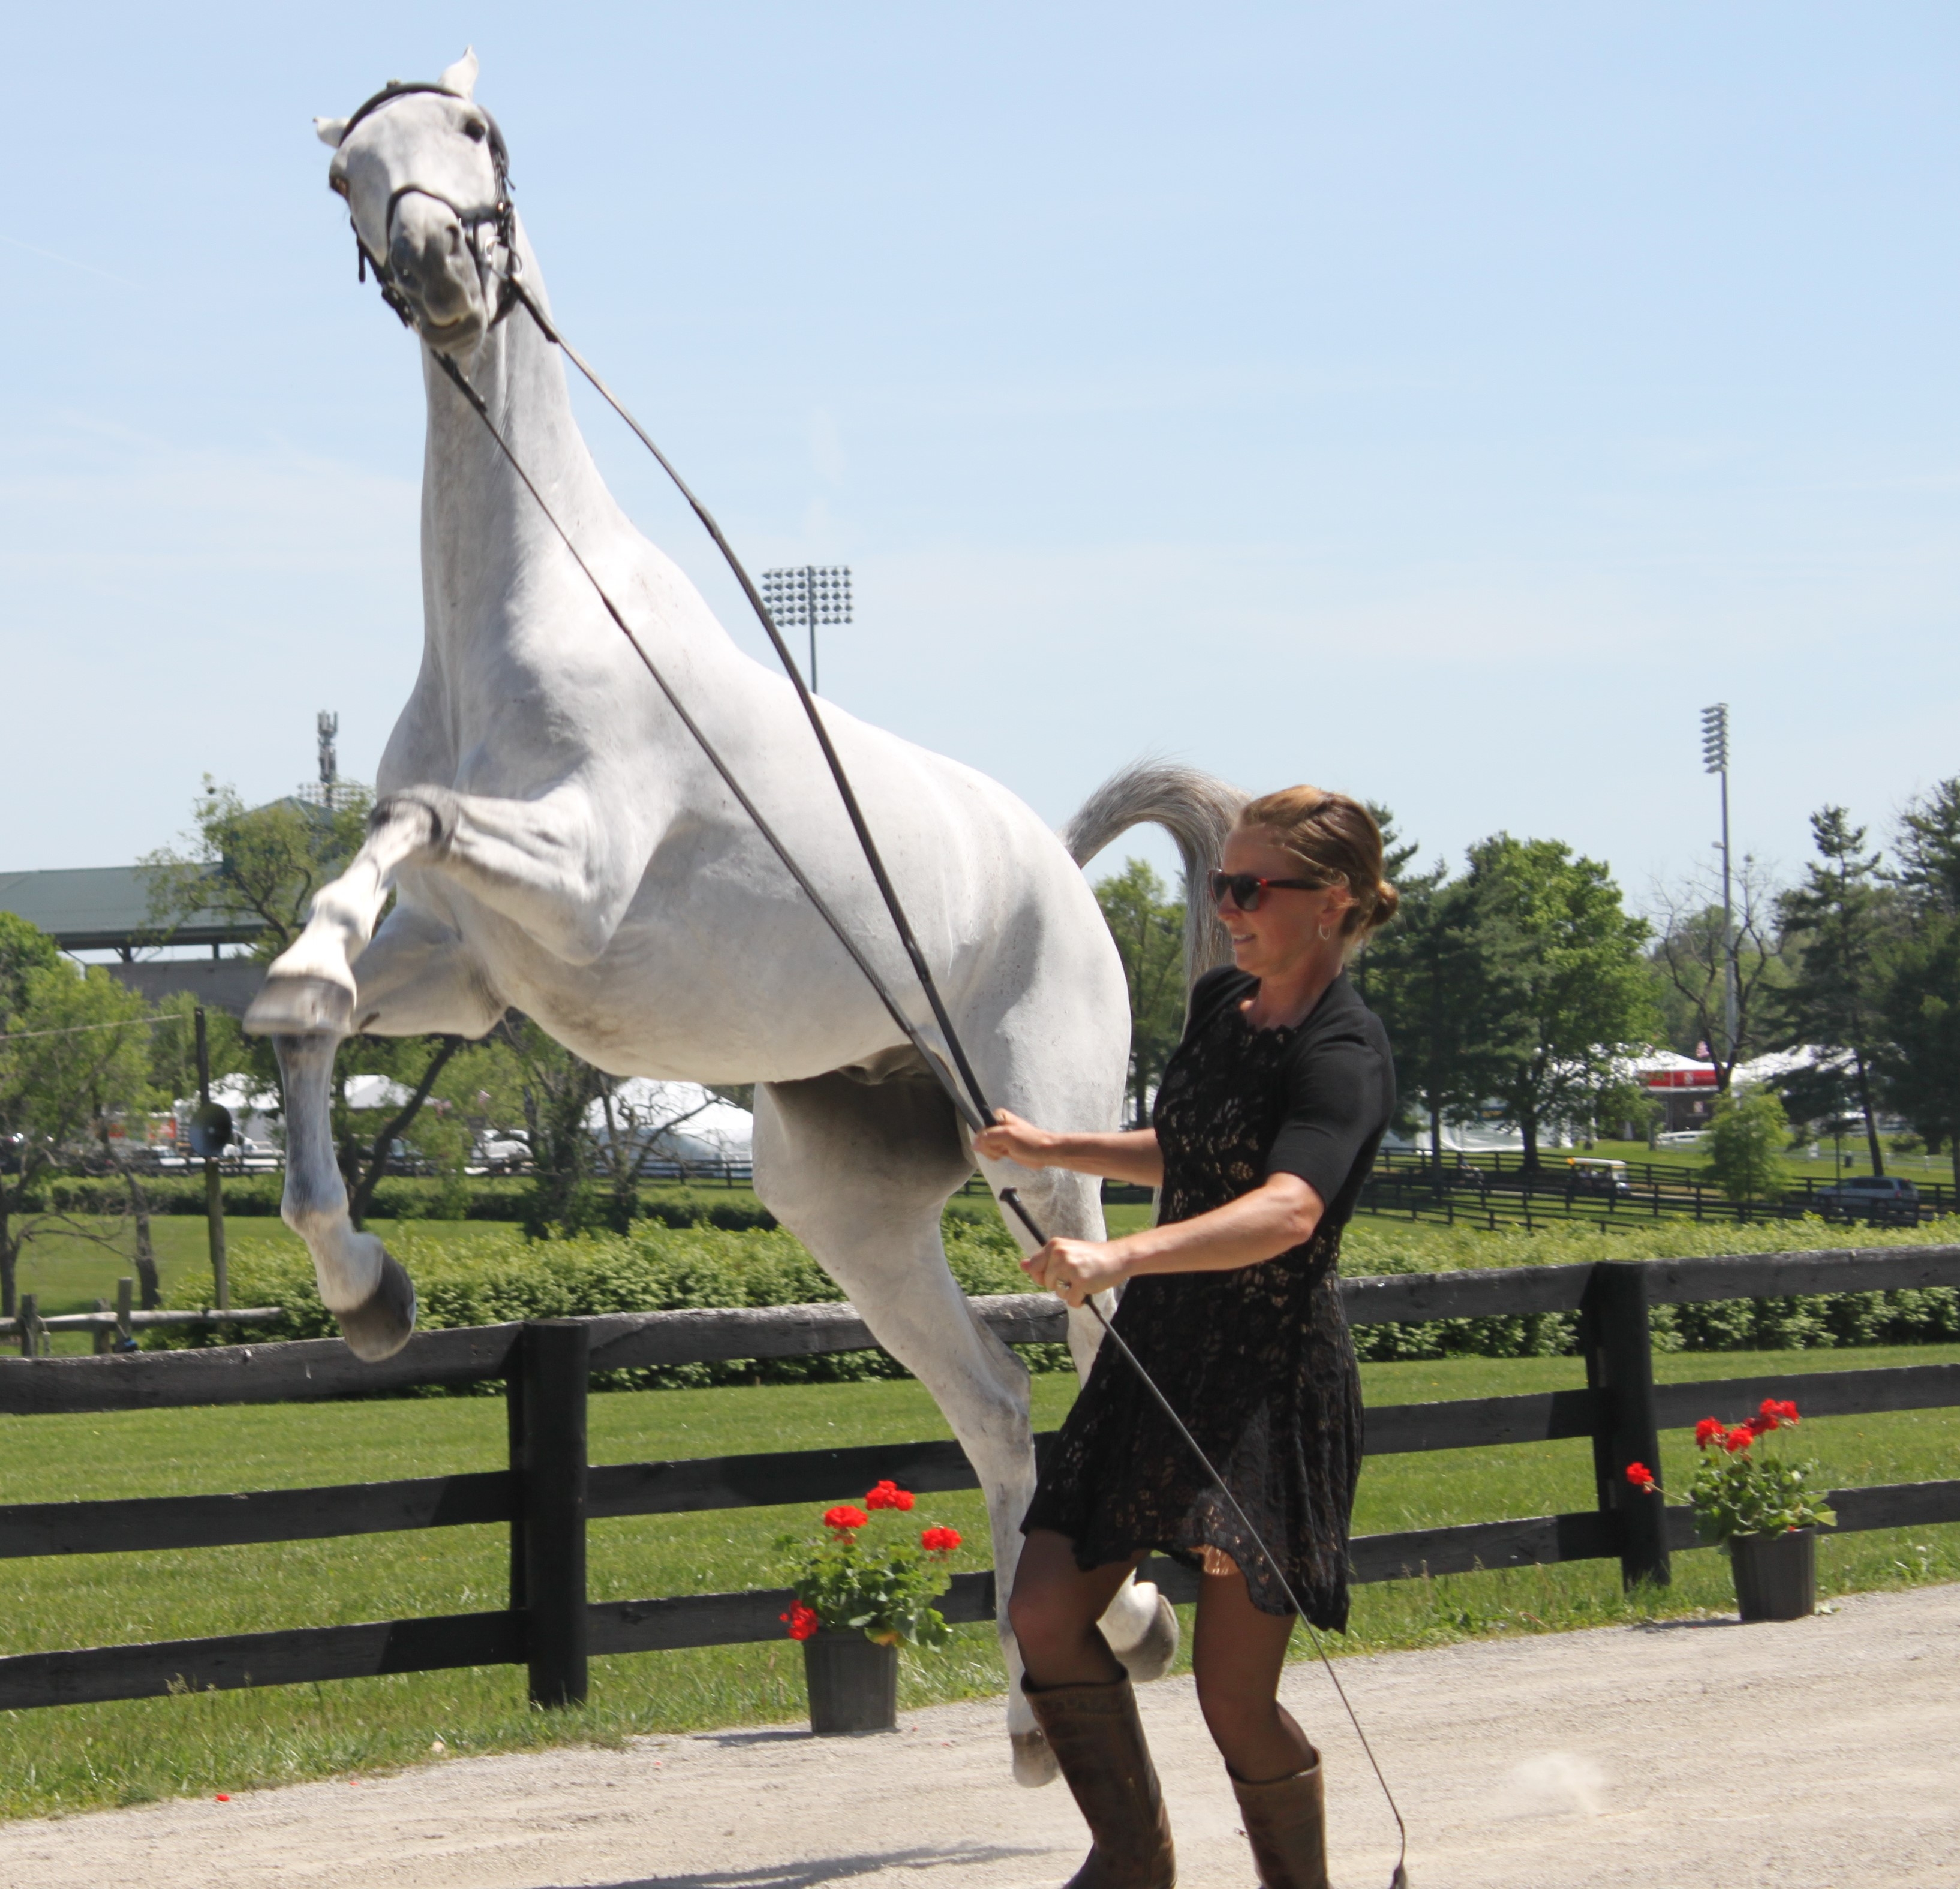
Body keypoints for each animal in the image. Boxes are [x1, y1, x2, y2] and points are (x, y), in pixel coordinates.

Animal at [252, 52, 1246, 1779]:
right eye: (344, 177)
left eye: (477, 134)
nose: (440, 268)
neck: (528, 612)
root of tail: (1055, 865)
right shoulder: (472, 975)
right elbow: (327, 1012)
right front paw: (363, 1285)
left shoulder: (575, 885)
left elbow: (399, 825)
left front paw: (306, 999)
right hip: (849, 1208)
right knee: (995, 1404)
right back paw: (1048, 1700)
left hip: (1044, 1163)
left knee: (1090, 1352)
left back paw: (1133, 1622)